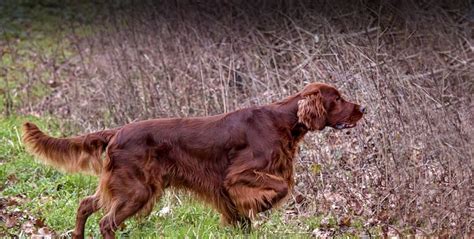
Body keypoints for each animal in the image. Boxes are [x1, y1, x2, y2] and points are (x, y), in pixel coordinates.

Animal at [22, 81, 364, 237]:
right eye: (338, 99)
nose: (362, 109)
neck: (281, 120)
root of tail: (117, 131)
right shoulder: (238, 175)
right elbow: (280, 189)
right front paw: (262, 205)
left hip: (127, 185)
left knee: (85, 205)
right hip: (137, 190)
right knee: (106, 221)